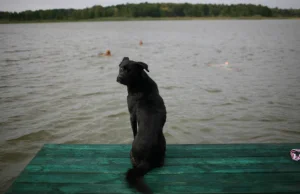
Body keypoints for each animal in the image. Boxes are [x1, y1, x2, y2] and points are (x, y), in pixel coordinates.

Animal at [116, 56, 166, 193]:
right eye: (121, 68)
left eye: (129, 71)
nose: (119, 78)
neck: (140, 84)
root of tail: (146, 160)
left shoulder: (132, 115)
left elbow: (134, 131)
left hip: (132, 155)